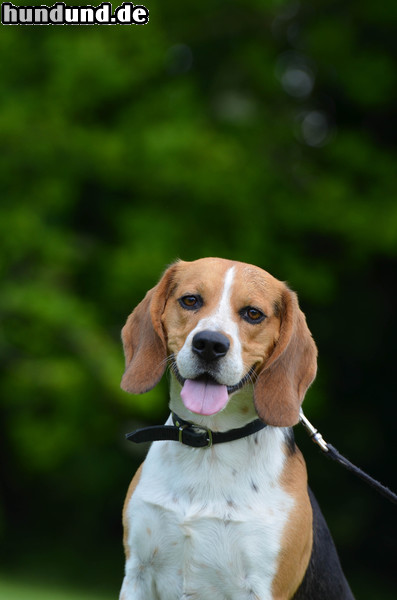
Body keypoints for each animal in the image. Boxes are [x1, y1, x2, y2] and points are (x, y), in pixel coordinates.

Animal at [118, 258, 352, 600]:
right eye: (190, 300)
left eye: (253, 313)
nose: (210, 344)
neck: (208, 442)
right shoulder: (138, 573)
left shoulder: (260, 588)